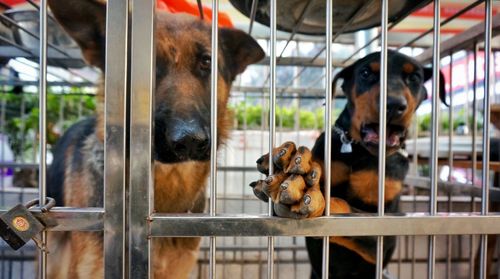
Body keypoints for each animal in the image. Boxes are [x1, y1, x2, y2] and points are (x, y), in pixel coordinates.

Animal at [250, 50, 446, 279]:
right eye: (365, 73)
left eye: (414, 77)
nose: (393, 105)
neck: (360, 150)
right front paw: (288, 161)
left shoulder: (386, 231)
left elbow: (347, 209)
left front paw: (311, 194)